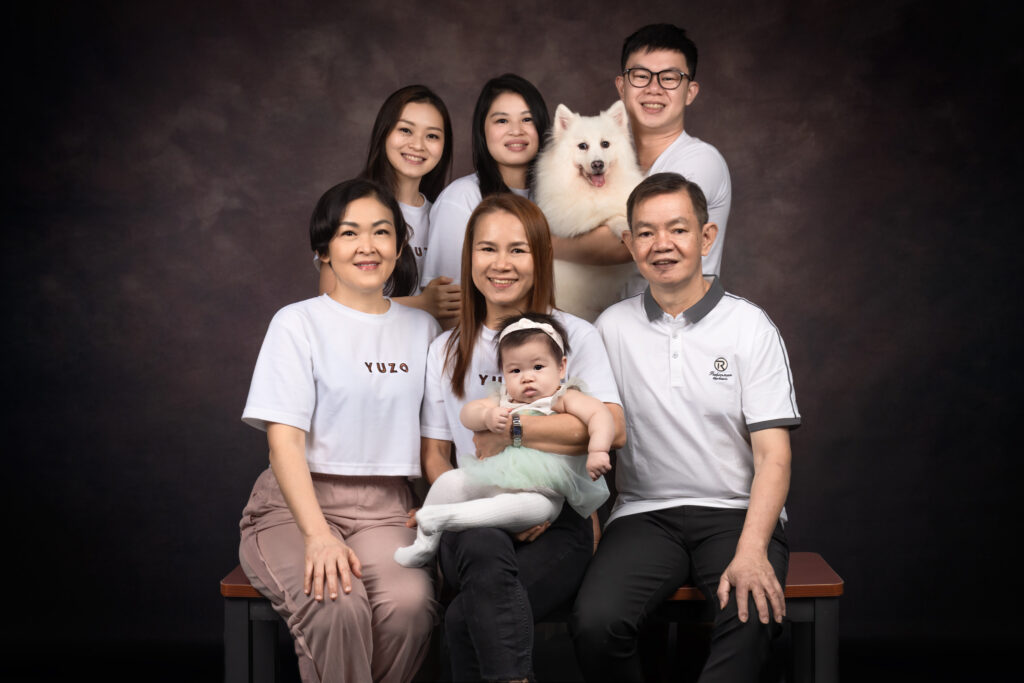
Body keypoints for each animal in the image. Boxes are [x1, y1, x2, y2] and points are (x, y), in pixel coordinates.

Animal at [536, 100, 638, 323]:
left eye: (605, 144)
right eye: (583, 146)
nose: (597, 164)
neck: (595, 191)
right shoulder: (574, 220)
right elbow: (607, 216)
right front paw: (622, 225)